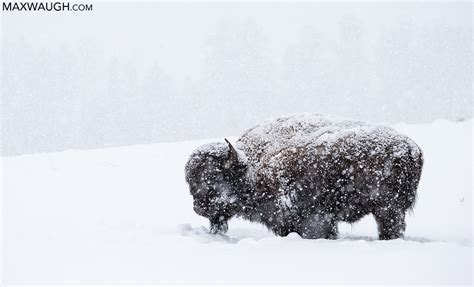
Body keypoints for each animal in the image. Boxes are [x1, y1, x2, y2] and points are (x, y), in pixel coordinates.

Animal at [184, 115, 422, 241]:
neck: (251, 167)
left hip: (387, 208)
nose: (197, 208)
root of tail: (413, 148)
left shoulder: (314, 220)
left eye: (211, 178)